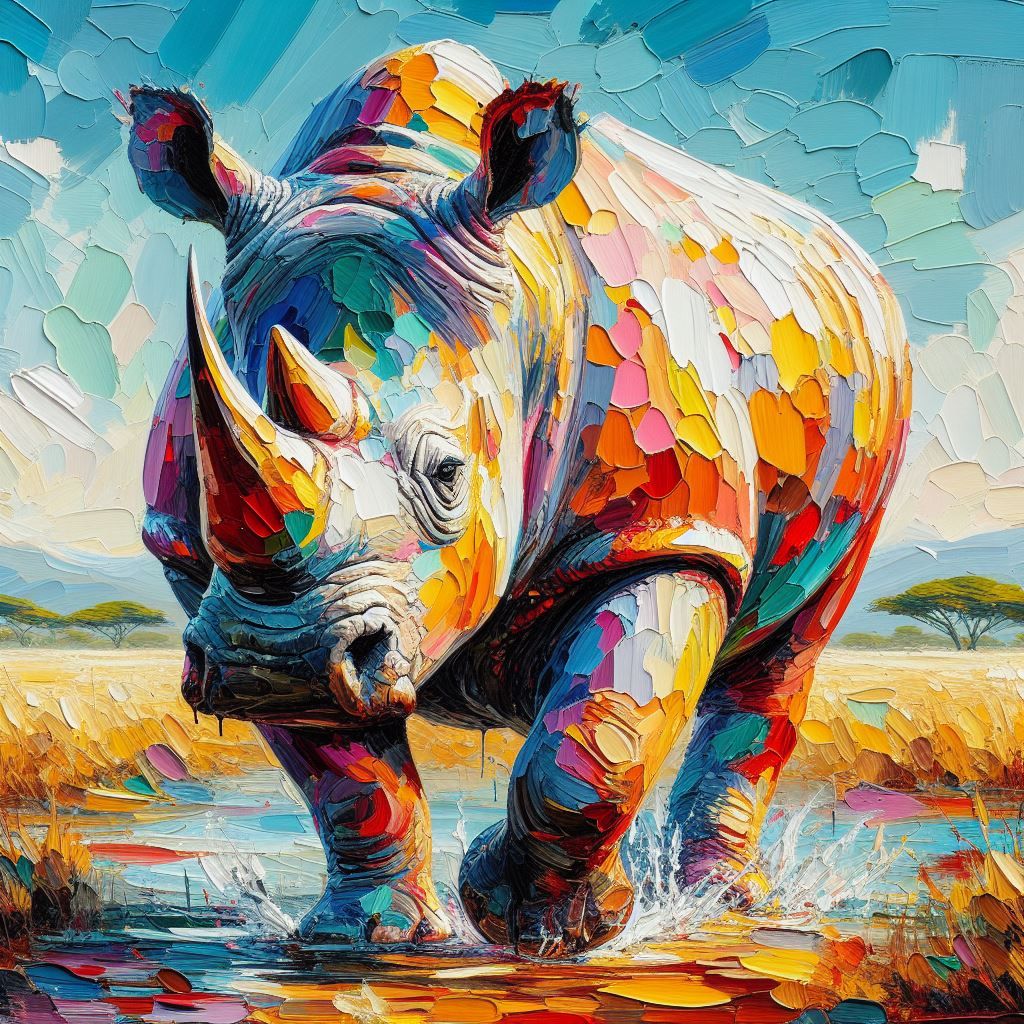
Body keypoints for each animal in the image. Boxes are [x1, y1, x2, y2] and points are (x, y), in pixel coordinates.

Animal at [129, 40, 910, 957]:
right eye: (204, 469)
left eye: (447, 474)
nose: (271, 659)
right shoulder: (211, 569)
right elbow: (345, 773)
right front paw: (371, 942)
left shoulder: (665, 527)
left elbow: (599, 739)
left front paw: (548, 929)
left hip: (875, 403)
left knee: (784, 654)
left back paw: (727, 909)